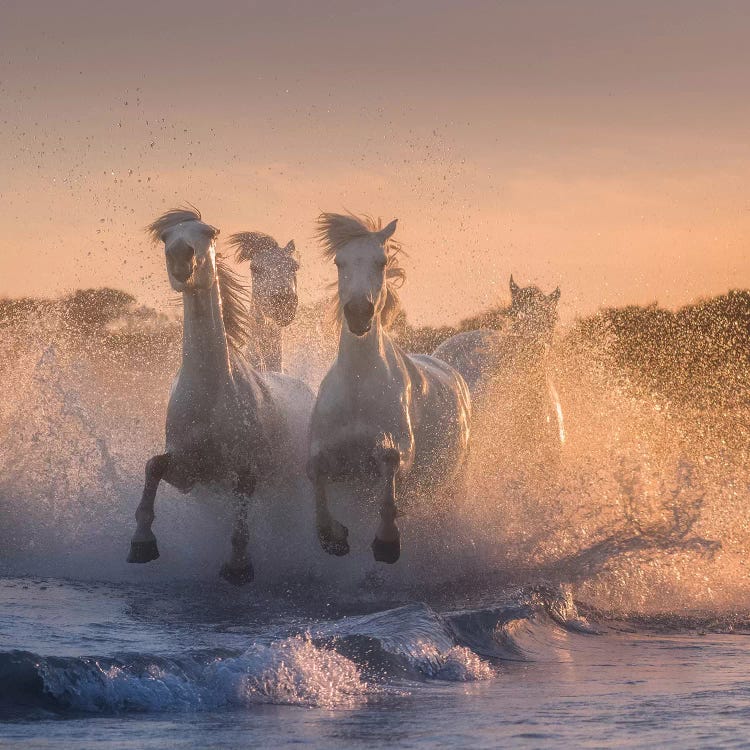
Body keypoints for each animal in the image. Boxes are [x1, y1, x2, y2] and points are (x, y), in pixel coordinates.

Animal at [306, 212, 470, 564]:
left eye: (381, 262)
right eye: (339, 262)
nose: (358, 312)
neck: (358, 386)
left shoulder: (399, 453)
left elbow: (390, 465)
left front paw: (387, 542)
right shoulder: (330, 456)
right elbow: (315, 472)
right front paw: (333, 537)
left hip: (453, 487)